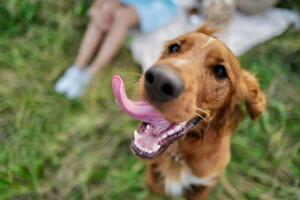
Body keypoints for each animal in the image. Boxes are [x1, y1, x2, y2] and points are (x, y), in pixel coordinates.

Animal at [113, 25, 268, 199]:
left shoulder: (204, 185)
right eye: (174, 48)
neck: (178, 156)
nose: (159, 80)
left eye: (220, 71)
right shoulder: (153, 179)